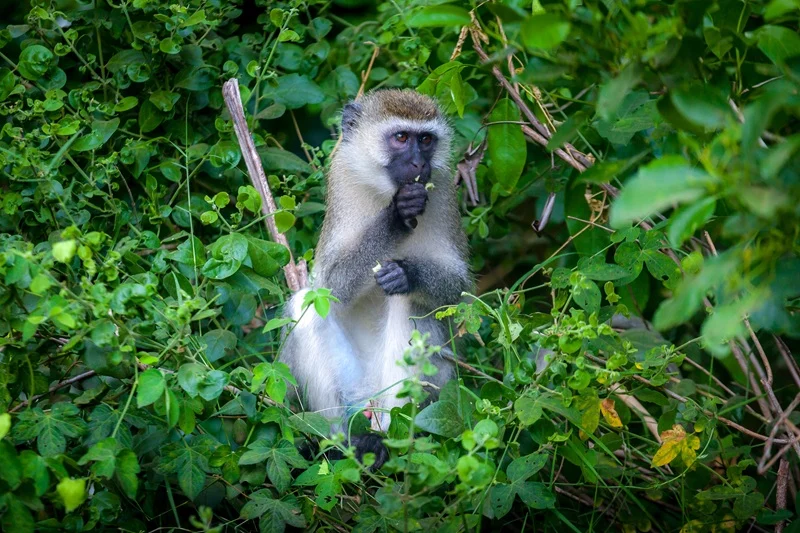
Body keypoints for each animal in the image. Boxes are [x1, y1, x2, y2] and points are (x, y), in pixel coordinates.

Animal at [280, 89, 472, 468]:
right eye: (400, 138)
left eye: (426, 140)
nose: (419, 165)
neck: (384, 191)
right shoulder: (341, 179)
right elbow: (329, 287)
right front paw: (397, 217)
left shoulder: (443, 189)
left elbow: (456, 289)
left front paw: (407, 272)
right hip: (351, 387)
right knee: (306, 306)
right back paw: (345, 444)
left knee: (412, 305)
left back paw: (390, 439)